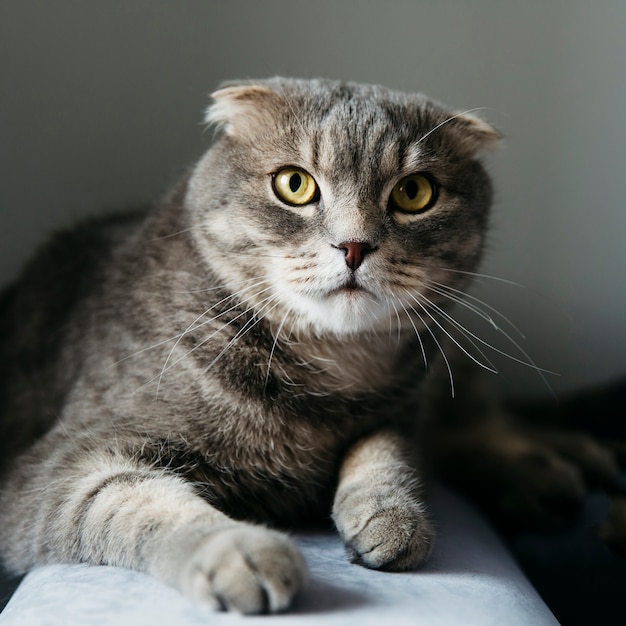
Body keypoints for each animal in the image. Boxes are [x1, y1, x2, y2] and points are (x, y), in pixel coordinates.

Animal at [0, 77, 616, 608]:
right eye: (294, 184)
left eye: (415, 193)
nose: (353, 245)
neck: (332, 370)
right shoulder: (61, 461)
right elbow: (137, 503)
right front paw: (240, 553)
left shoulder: (405, 407)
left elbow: (389, 451)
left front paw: (391, 514)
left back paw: (566, 464)